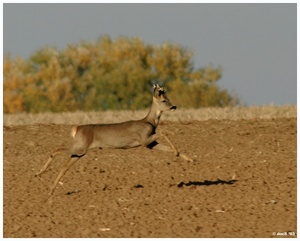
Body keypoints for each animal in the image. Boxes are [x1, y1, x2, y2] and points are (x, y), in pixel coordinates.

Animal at [35, 84, 192, 195]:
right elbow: (164, 132)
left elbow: (166, 146)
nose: (174, 106)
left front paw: (188, 158)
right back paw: (38, 173)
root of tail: (77, 129)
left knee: (64, 167)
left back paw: (50, 191)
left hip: (79, 152)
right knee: (56, 149)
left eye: (168, 99)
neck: (150, 122)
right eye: (164, 100)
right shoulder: (144, 139)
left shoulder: (150, 144)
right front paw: (178, 152)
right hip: (79, 147)